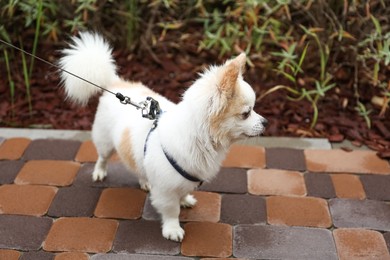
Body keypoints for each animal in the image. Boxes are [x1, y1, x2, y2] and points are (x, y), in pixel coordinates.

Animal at [59, 32, 266, 242]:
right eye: (246, 113)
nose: (265, 122)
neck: (201, 140)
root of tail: (116, 83)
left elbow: (183, 192)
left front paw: (185, 200)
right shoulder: (166, 190)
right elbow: (172, 210)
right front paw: (172, 229)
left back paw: (145, 181)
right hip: (105, 142)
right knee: (102, 157)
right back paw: (100, 172)